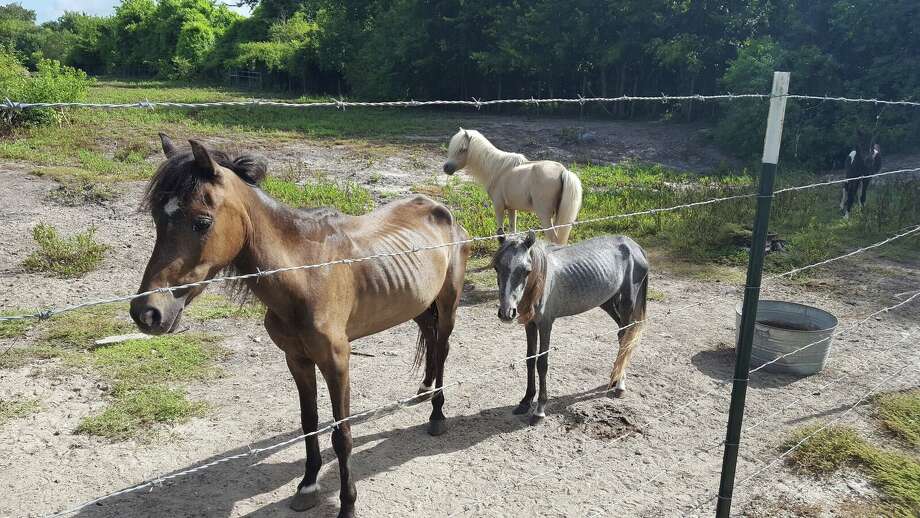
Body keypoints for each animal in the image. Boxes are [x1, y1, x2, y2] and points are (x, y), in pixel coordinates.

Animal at [129, 134, 470, 517]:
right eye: (157, 217)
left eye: (202, 222)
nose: (147, 312)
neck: (306, 274)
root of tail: (441, 210)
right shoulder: (297, 360)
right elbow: (309, 423)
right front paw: (308, 486)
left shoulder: (337, 362)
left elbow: (341, 434)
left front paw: (347, 504)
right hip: (417, 302)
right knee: (429, 336)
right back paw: (424, 388)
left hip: (448, 302)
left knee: (442, 346)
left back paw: (437, 414)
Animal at [443, 128, 583, 244]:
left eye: (462, 149)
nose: (446, 168)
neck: (497, 169)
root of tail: (563, 171)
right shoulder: (511, 208)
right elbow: (512, 231)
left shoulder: (499, 207)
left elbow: (500, 233)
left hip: (545, 216)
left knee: (553, 238)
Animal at [491, 229, 649, 425]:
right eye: (496, 267)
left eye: (526, 271)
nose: (506, 313)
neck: (543, 280)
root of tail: (634, 246)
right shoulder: (530, 324)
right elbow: (530, 359)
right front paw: (525, 401)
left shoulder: (546, 325)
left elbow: (542, 363)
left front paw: (539, 410)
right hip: (608, 302)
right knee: (622, 337)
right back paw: (615, 379)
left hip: (627, 303)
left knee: (626, 339)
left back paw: (619, 385)